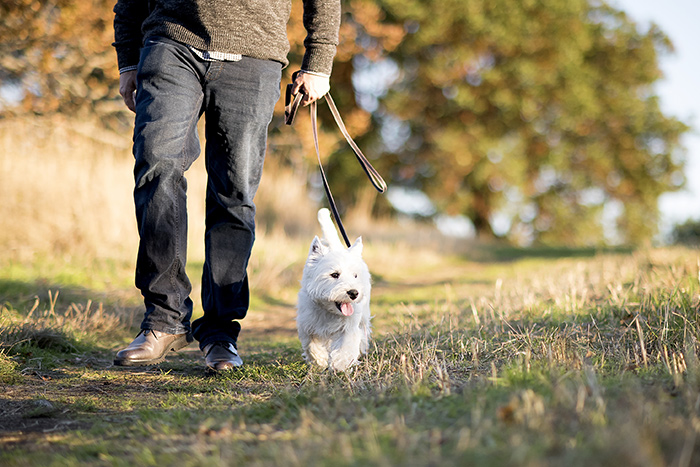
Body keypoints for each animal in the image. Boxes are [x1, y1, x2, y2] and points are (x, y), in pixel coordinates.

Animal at [296, 208, 372, 372]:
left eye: (355, 275)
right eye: (335, 274)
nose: (353, 293)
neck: (329, 311)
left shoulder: (349, 327)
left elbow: (347, 346)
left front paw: (341, 364)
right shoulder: (307, 325)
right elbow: (312, 346)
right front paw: (320, 362)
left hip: (363, 314)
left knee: (363, 330)